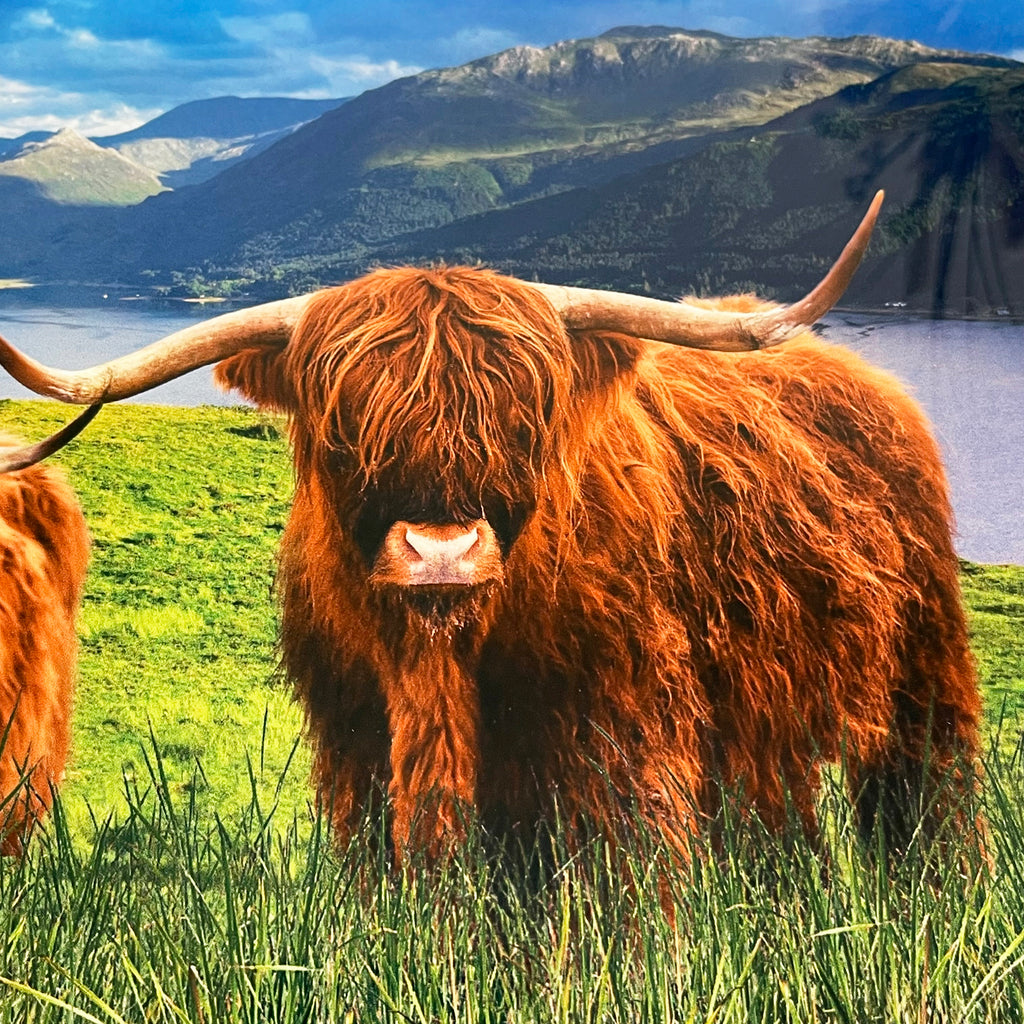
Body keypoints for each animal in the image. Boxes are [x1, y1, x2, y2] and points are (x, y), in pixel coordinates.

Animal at [0, 192, 982, 860]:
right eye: (343, 422)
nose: (442, 554)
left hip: (921, 677)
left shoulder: (621, 740)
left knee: (929, 808)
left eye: (526, 417)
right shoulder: (359, 746)